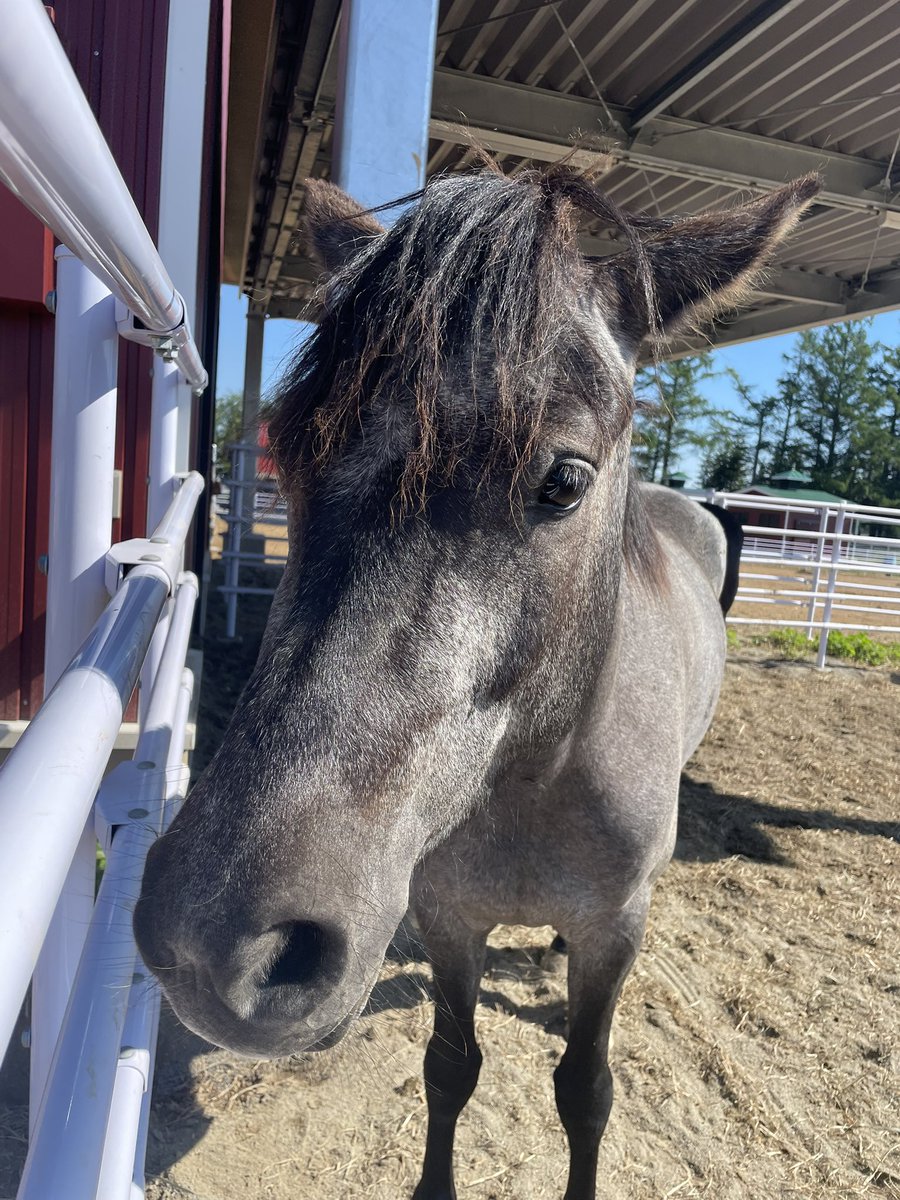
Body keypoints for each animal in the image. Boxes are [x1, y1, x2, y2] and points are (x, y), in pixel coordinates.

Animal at [134, 164, 818, 1198]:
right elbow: (450, 1067)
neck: (537, 785)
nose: (211, 947)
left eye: (565, 479)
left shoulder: (618, 928)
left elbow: (585, 1089)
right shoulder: (447, 917)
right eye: (289, 456)